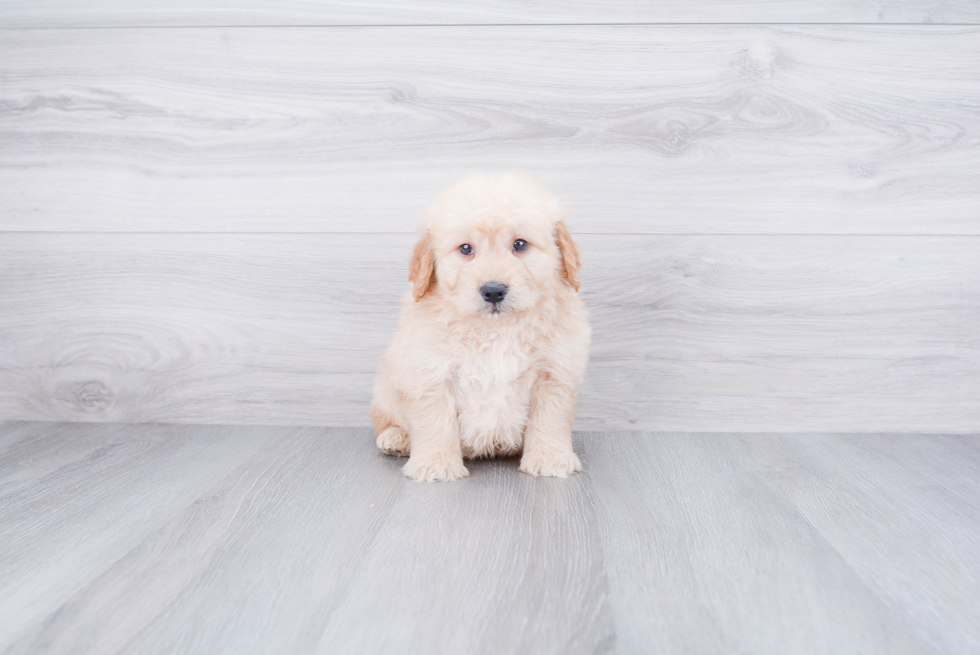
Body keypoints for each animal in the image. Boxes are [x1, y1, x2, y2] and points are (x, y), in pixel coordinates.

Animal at [372, 173, 588, 482]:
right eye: (466, 249)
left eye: (520, 245)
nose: (494, 291)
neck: (496, 329)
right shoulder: (428, 372)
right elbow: (434, 422)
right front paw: (435, 463)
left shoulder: (554, 373)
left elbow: (550, 419)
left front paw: (550, 458)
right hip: (385, 389)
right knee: (385, 419)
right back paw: (396, 438)